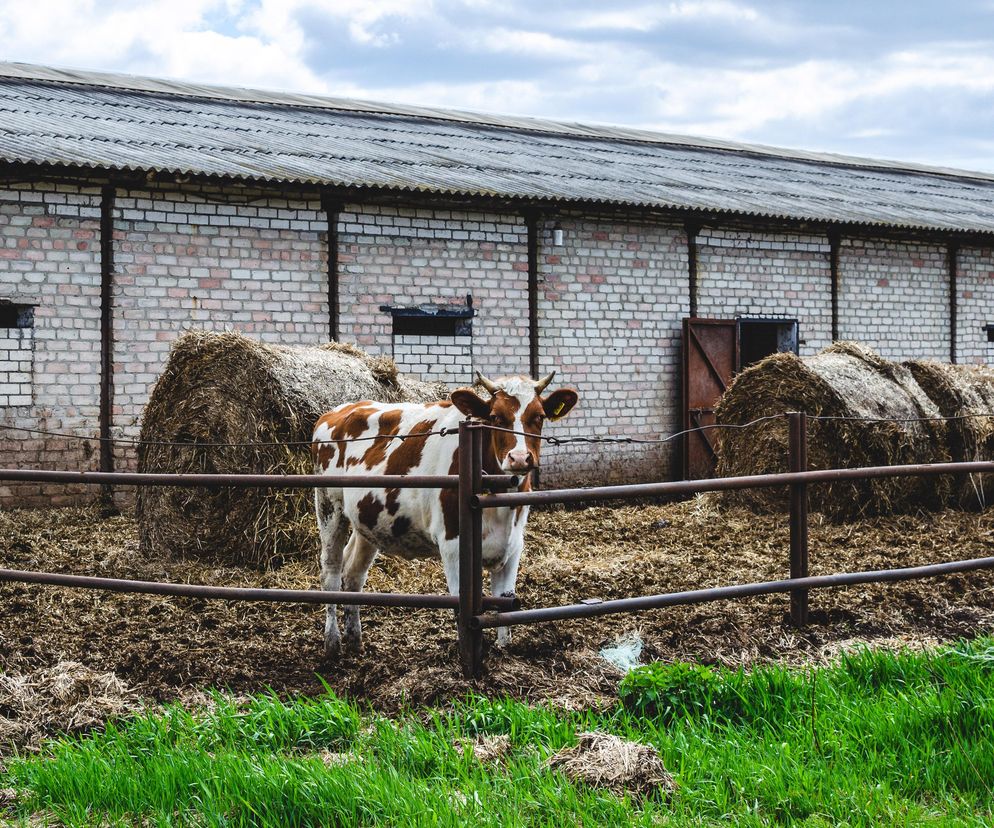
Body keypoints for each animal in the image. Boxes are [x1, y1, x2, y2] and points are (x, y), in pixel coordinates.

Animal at [308, 372, 572, 656]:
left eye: (539, 416)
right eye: (495, 417)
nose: (520, 458)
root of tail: (339, 410)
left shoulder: (513, 546)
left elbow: (505, 605)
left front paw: (504, 650)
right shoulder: (454, 545)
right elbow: (460, 608)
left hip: (368, 519)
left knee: (353, 573)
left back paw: (355, 640)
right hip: (328, 505)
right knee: (331, 572)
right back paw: (332, 642)